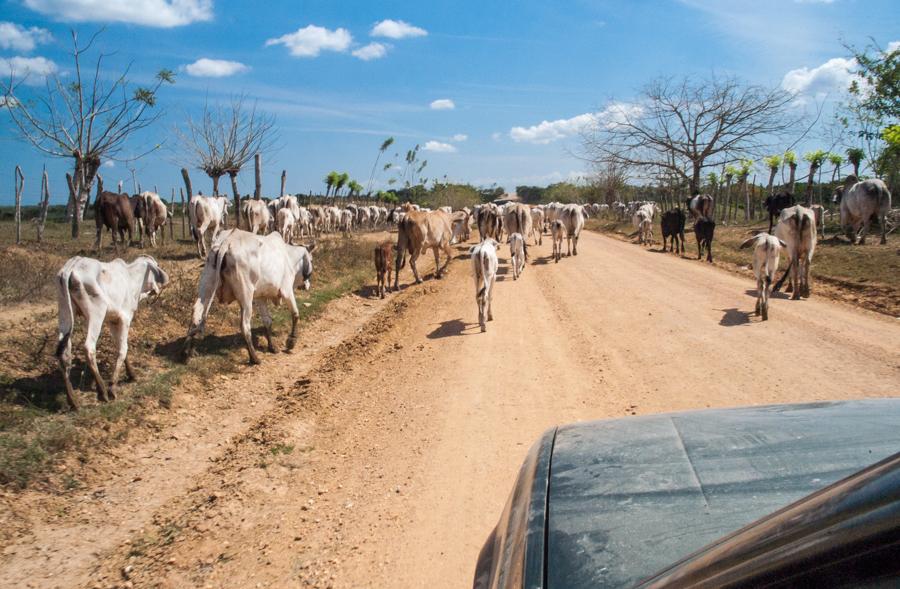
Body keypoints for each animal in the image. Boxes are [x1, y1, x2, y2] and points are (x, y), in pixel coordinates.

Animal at [55, 255, 169, 412]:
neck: (131, 277)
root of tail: (70, 268)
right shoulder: (124, 319)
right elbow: (123, 348)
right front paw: (113, 387)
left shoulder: (112, 321)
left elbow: (120, 346)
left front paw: (131, 375)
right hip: (96, 314)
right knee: (89, 347)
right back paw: (102, 391)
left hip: (64, 312)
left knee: (64, 353)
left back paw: (73, 401)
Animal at [183, 229, 316, 362]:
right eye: (311, 259)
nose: (307, 282)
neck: (289, 257)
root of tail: (227, 242)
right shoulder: (286, 290)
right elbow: (295, 314)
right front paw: (291, 341)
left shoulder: (261, 297)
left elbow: (267, 321)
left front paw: (272, 347)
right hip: (246, 296)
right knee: (245, 326)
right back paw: (254, 358)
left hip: (207, 286)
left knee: (196, 312)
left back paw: (188, 351)